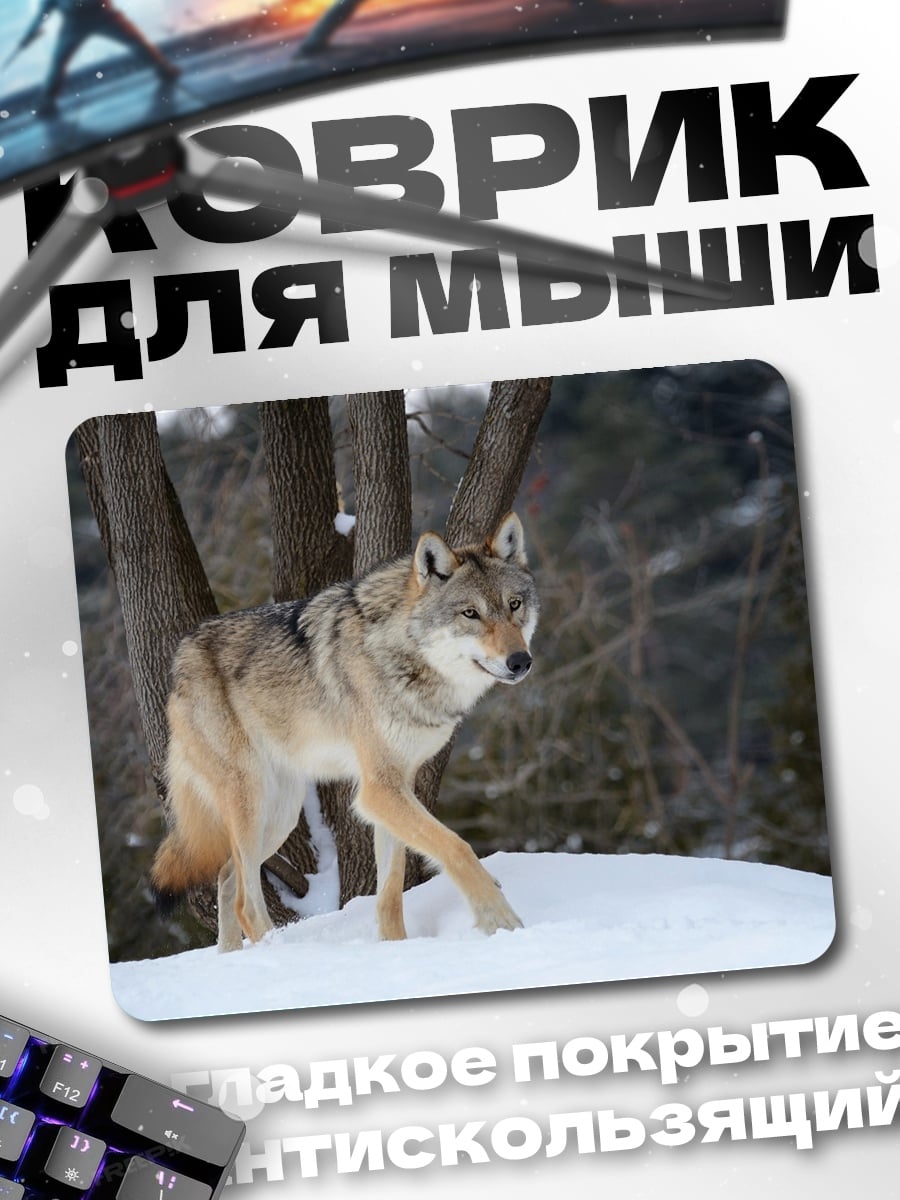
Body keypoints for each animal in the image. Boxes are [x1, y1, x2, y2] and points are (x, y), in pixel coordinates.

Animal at [150, 512, 538, 952]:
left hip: (280, 814)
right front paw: (501, 921)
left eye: (514, 605)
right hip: (252, 802)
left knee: (227, 877)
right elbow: (457, 848)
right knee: (246, 902)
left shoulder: (396, 786)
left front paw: (396, 948)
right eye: (470, 613)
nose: (520, 661)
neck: (403, 655)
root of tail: (180, 661)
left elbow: (390, 891)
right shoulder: (378, 790)